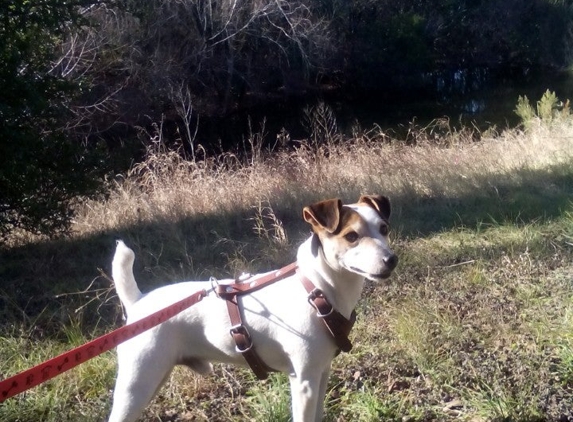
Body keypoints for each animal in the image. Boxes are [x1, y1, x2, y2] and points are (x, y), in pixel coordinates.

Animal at [109, 196, 398, 420]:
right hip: (136, 386)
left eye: (384, 228)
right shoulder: (303, 381)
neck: (316, 289)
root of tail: (139, 301)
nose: (391, 259)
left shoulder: (321, 373)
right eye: (351, 236)